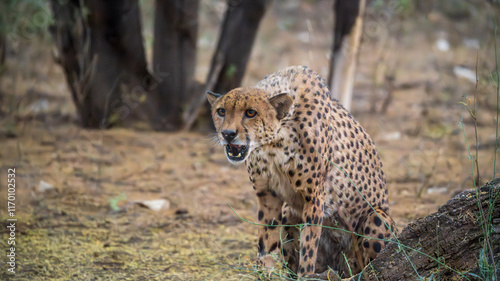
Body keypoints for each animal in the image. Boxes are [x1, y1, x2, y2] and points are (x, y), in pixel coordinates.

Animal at [206, 66, 394, 278]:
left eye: (251, 112)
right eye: (221, 111)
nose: (227, 134)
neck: (273, 143)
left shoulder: (315, 197)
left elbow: (308, 249)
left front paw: (304, 275)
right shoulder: (267, 195)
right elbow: (266, 240)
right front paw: (263, 272)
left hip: (376, 217)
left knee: (366, 267)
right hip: (289, 213)